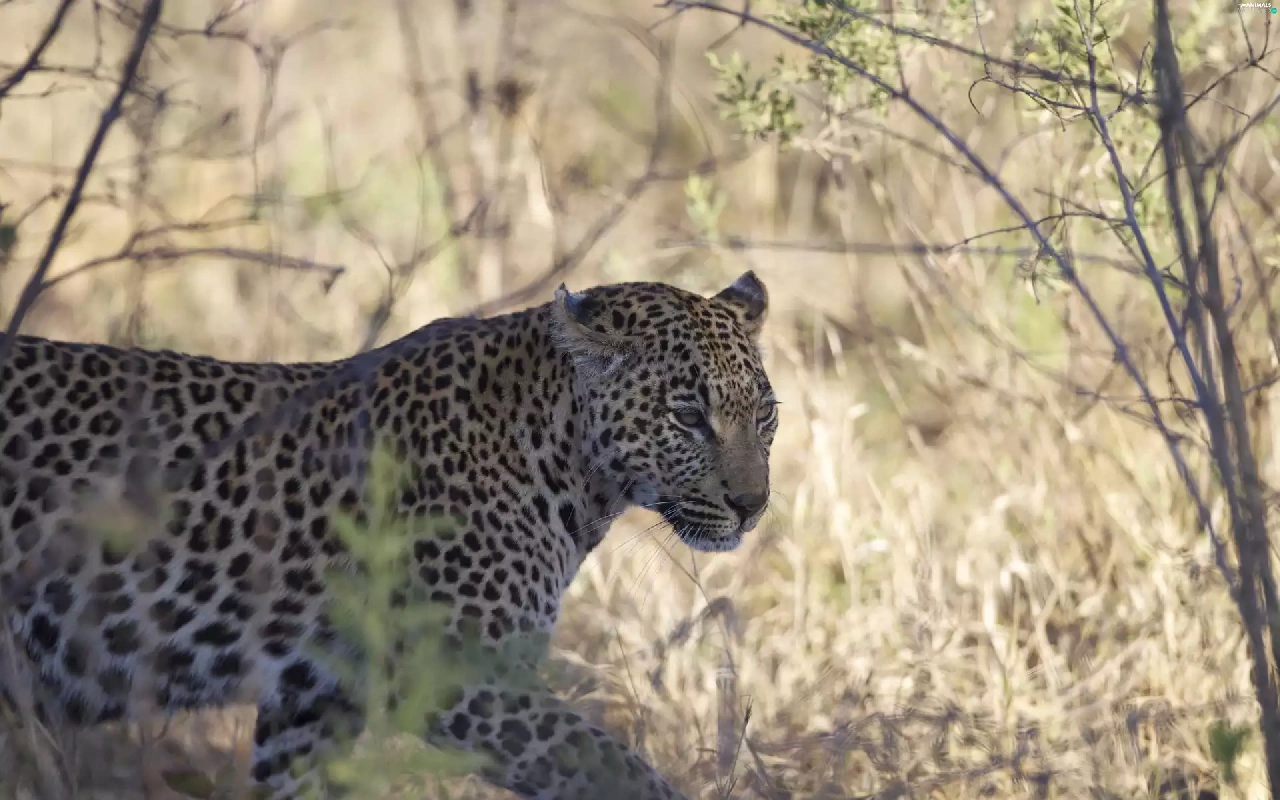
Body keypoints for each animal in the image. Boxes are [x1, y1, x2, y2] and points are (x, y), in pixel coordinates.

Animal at [0, 271, 777, 800]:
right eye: (687, 416)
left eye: (765, 414)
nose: (752, 505)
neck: (570, 465)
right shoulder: (460, 676)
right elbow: (611, 766)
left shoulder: (312, 706)